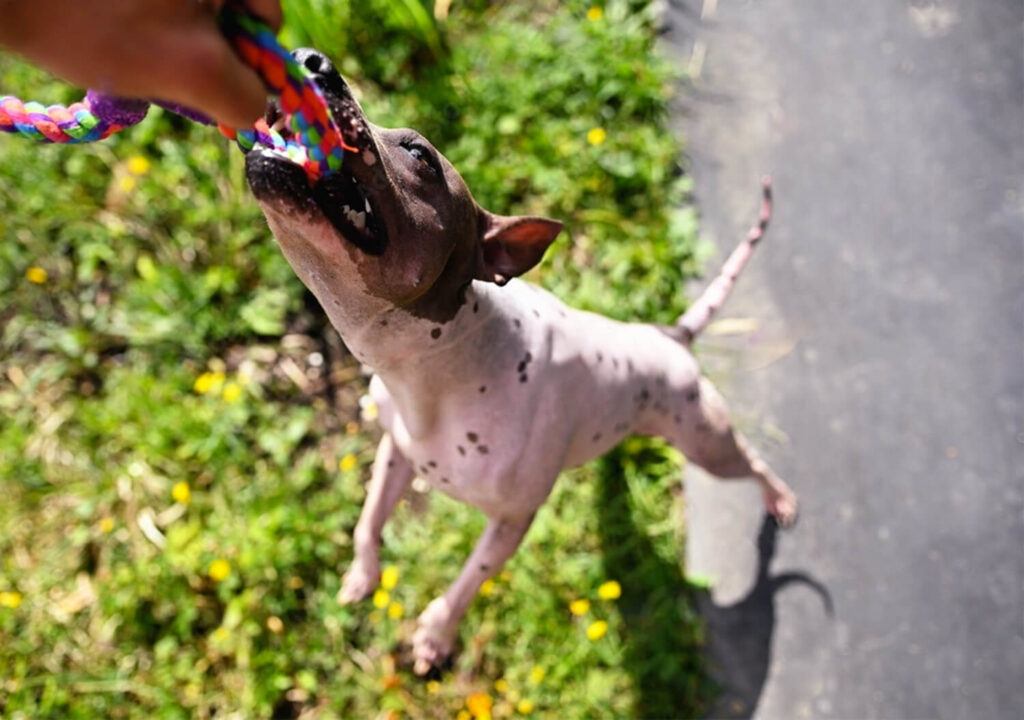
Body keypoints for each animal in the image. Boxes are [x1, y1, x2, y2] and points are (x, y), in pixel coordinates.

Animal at [243, 49, 794, 675]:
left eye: (419, 153)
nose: (310, 59)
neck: (433, 368)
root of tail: (670, 335)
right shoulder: (395, 452)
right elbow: (368, 520)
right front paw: (363, 575)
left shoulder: (511, 522)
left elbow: (467, 580)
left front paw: (436, 632)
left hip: (705, 439)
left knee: (751, 461)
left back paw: (779, 496)